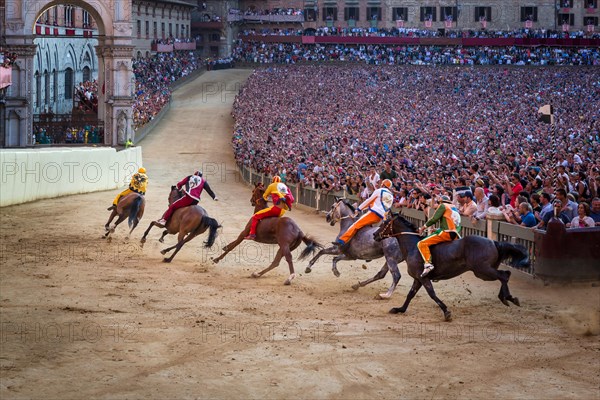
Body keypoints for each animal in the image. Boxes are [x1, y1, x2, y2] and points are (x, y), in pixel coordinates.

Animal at [376, 212, 528, 322]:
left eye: (384, 223)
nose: (375, 234)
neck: (413, 246)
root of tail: (494, 242)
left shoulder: (423, 278)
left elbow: (432, 294)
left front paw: (446, 312)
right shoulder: (418, 279)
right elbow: (410, 295)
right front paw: (399, 309)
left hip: (482, 270)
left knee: (503, 275)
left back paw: (507, 297)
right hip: (484, 273)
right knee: (506, 274)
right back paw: (507, 297)